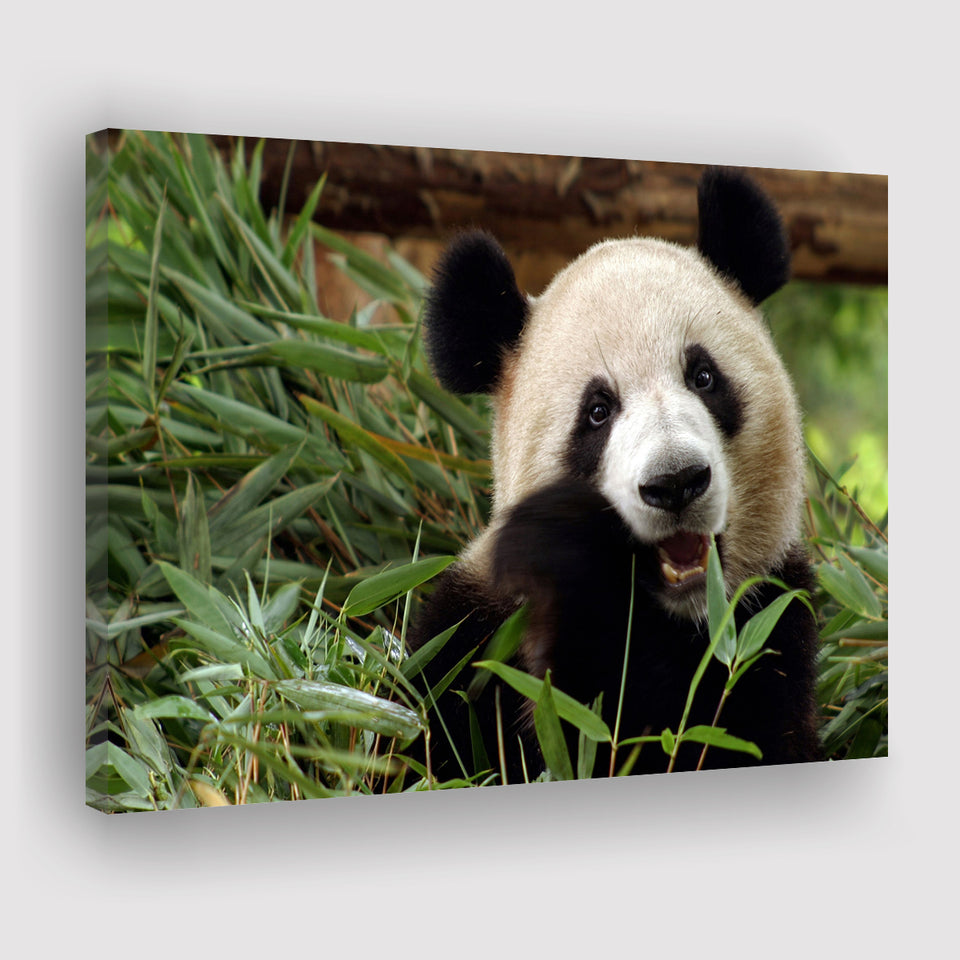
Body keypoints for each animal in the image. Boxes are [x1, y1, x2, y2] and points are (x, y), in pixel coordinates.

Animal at [408, 166, 822, 782]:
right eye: (598, 411)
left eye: (703, 376)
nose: (675, 483)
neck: (675, 619)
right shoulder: (473, 639)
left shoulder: (768, 631)